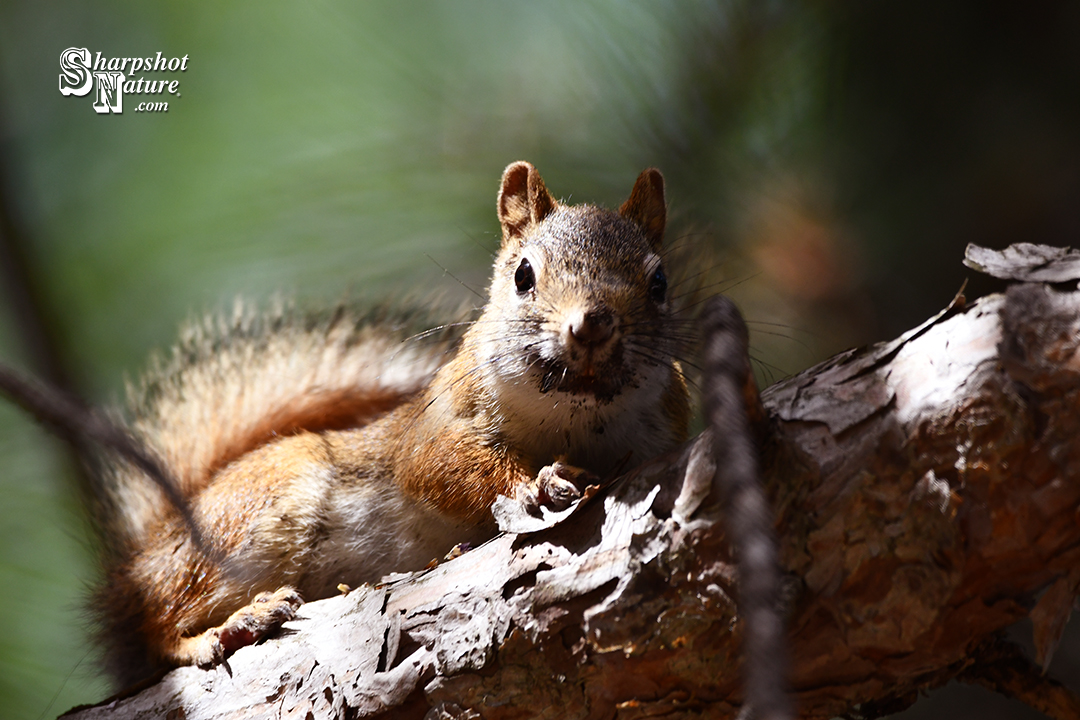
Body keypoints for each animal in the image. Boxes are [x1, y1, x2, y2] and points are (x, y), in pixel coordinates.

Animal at [87, 161, 694, 688]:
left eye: (660, 282)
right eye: (524, 275)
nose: (592, 324)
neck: (576, 416)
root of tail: (143, 558)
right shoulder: (436, 422)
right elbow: (433, 468)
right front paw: (537, 483)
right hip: (255, 514)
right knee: (158, 627)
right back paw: (228, 626)